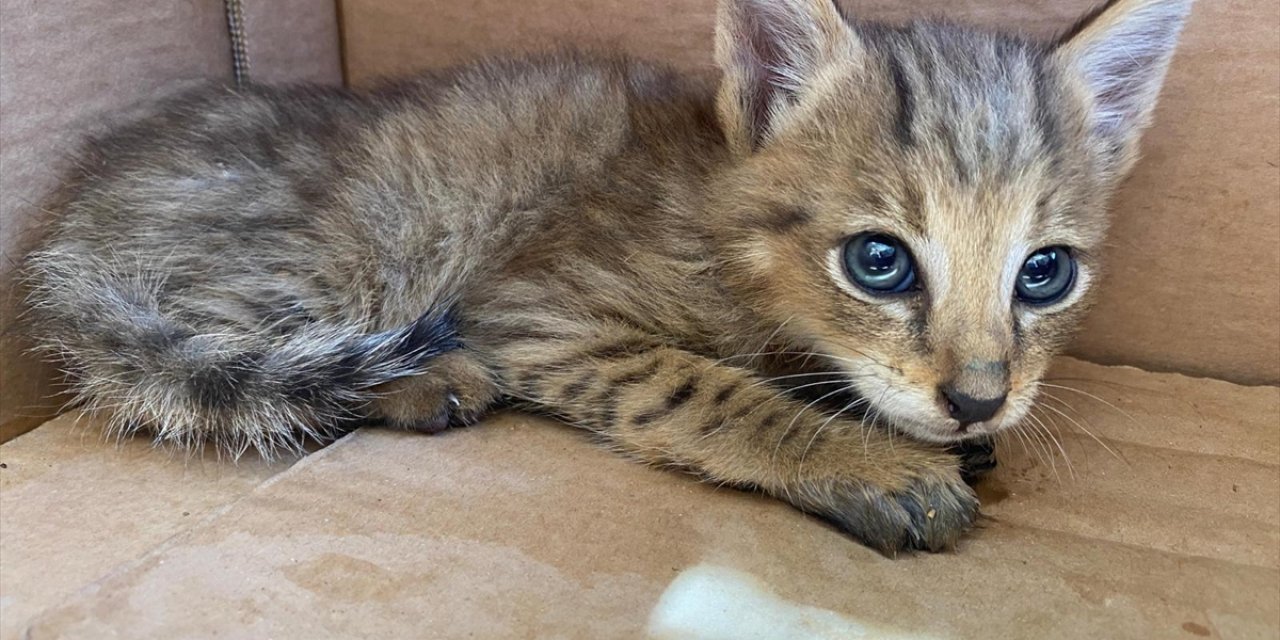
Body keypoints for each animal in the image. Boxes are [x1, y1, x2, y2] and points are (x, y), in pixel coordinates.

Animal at [24, 0, 1192, 550]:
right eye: (878, 261)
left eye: (1044, 273)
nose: (979, 397)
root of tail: (68, 226)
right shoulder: (533, 307)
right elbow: (705, 388)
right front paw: (865, 459)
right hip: (359, 246)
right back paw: (424, 378)